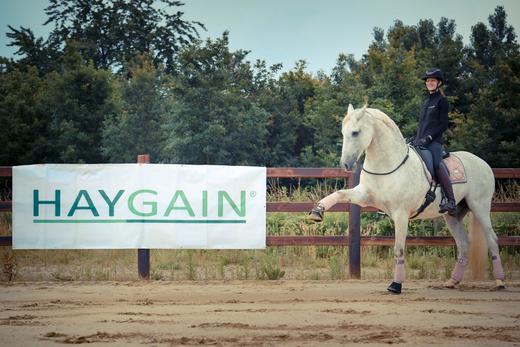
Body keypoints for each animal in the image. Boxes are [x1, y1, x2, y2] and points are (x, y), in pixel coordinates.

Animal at [310, 105, 506, 294]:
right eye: (343, 132)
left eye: (355, 132)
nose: (345, 164)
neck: (388, 165)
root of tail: (483, 163)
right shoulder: (364, 196)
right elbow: (340, 194)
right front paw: (317, 211)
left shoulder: (401, 215)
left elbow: (399, 249)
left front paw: (396, 285)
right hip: (452, 215)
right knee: (464, 244)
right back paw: (452, 282)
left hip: (480, 207)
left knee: (492, 239)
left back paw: (499, 281)